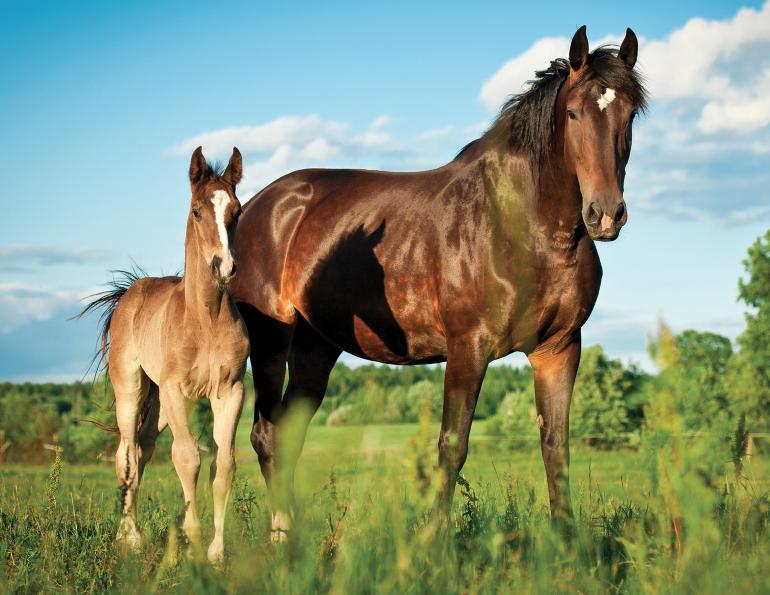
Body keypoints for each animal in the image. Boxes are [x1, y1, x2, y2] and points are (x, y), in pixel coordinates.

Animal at [81, 147, 249, 563]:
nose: (224, 266)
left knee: (143, 448)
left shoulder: (230, 391)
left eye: (236, 210)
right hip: (133, 388)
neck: (205, 320)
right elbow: (187, 458)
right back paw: (130, 536)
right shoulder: (177, 390)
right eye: (197, 211)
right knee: (126, 453)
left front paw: (216, 551)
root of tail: (130, 292)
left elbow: (223, 464)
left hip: (157, 404)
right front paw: (191, 542)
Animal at [230, 25, 647, 538]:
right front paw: (433, 542)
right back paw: (283, 536)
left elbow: (556, 447)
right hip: (271, 341)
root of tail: (258, 207)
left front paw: (566, 543)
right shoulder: (468, 348)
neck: (520, 225)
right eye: (572, 112)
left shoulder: (560, 349)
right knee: (266, 435)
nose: (605, 214)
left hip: (316, 347)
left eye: (630, 114)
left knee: (287, 435)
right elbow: (452, 446)